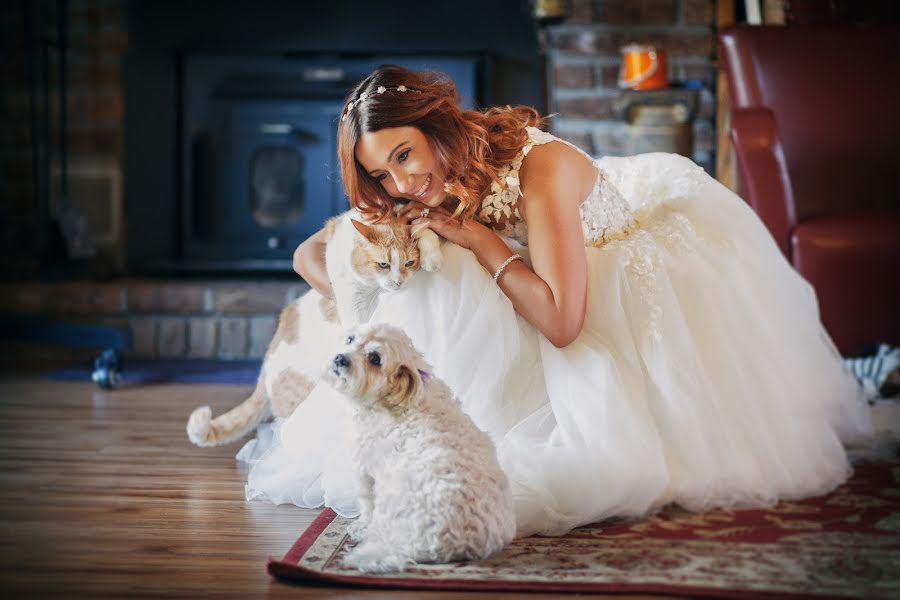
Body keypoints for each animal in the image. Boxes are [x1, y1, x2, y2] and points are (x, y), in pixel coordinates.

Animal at [187, 213, 442, 448]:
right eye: (383, 265)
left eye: (409, 263)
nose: (398, 282)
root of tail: (267, 362)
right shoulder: (351, 299)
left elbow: (426, 230)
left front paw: (432, 255)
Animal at [322, 324, 516, 572]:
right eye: (350, 339)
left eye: (375, 359)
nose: (340, 358)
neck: (398, 399)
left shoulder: (366, 468)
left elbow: (366, 502)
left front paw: (360, 524)